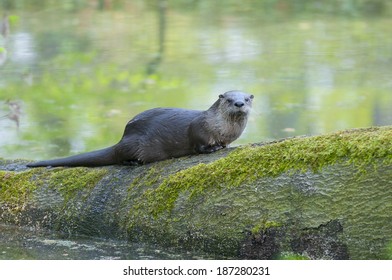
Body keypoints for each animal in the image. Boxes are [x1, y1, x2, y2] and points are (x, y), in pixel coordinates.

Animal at [27, 91, 254, 167]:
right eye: (230, 100)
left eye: (246, 98)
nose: (239, 103)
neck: (222, 128)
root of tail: (121, 140)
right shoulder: (200, 128)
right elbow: (199, 145)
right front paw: (213, 148)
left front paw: (223, 146)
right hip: (134, 144)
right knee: (121, 158)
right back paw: (132, 162)